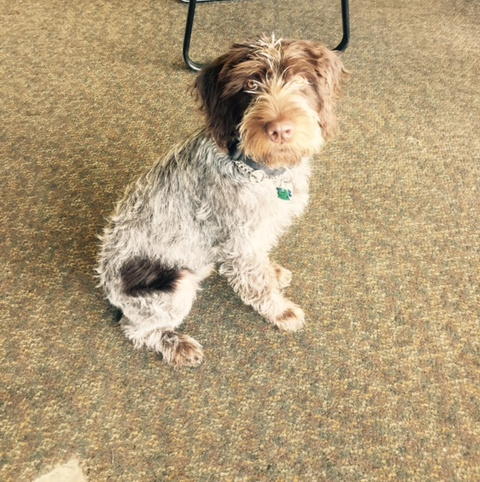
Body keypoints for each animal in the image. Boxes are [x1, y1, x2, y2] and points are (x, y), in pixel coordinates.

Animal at [96, 35, 344, 368]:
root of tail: (105, 281)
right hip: (172, 285)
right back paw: (176, 345)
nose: (280, 130)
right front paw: (280, 311)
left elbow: (262, 265)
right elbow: (257, 281)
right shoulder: (241, 242)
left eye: (301, 80)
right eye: (250, 84)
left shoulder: (258, 235)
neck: (260, 171)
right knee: (134, 328)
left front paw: (273, 272)